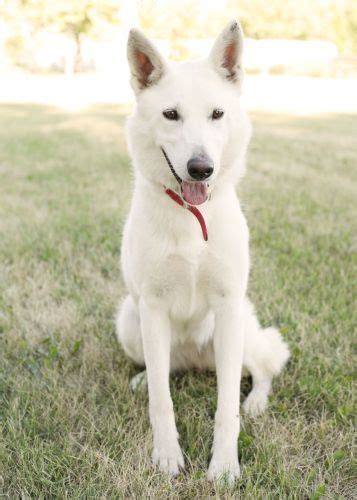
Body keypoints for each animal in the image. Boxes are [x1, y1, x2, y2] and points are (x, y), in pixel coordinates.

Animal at [117, 20, 290, 484]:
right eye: (170, 114)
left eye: (217, 114)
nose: (201, 168)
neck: (191, 217)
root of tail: (197, 362)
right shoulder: (152, 307)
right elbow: (161, 400)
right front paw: (167, 457)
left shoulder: (228, 307)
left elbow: (226, 407)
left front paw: (225, 466)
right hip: (129, 321)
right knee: (162, 372)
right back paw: (143, 380)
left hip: (242, 333)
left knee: (262, 370)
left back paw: (257, 402)